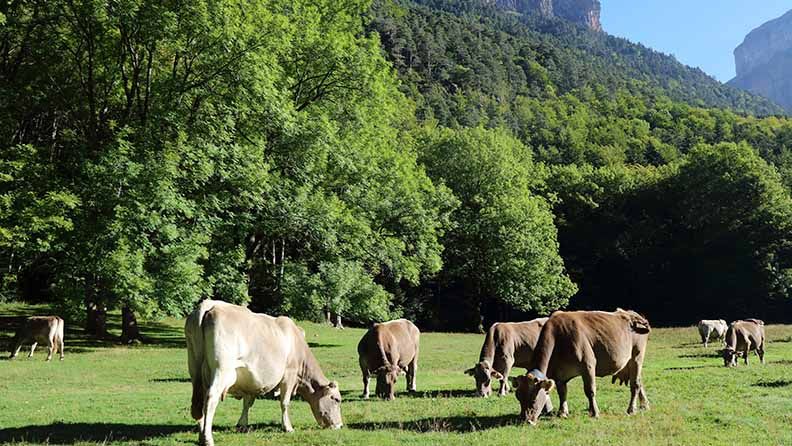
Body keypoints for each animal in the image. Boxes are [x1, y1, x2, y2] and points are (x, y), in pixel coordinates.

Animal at [185, 300, 342, 446]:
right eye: (336, 399)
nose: (340, 425)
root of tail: (209, 304)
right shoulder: (289, 375)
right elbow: (285, 402)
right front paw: (288, 427)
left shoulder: (250, 381)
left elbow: (247, 403)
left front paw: (242, 425)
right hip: (222, 369)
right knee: (210, 398)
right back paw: (208, 438)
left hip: (195, 367)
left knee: (200, 398)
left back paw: (201, 436)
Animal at [510, 309, 650, 425]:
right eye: (518, 397)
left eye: (533, 399)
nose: (525, 420)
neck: (559, 338)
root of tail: (633, 315)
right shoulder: (559, 374)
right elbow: (562, 392)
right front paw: (562, 412)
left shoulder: (588, 364)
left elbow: (590, 391)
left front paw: (595, 413)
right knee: (639, 382)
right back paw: (644, 405)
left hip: (637, 356)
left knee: (635, 384)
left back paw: (631, 409)